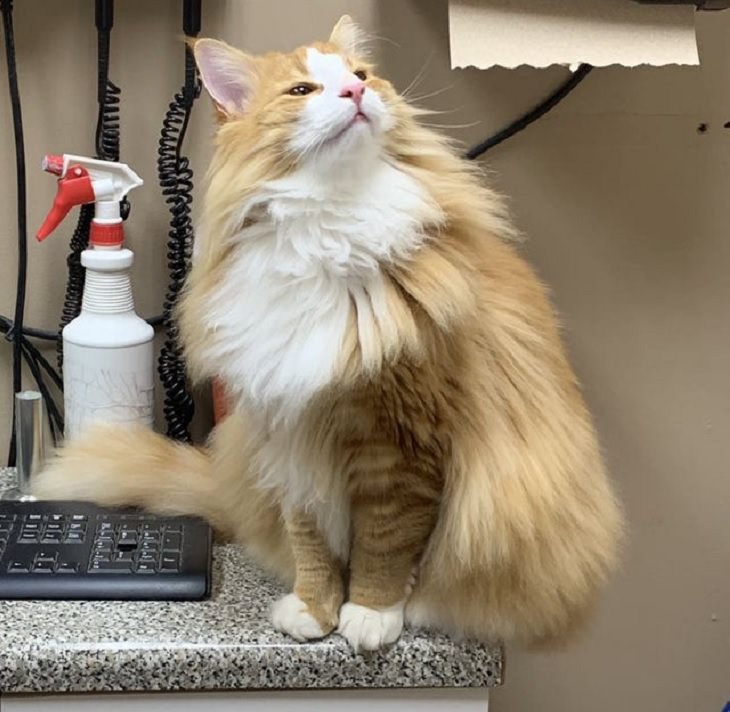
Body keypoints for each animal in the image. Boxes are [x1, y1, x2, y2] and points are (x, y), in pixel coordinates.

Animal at [34, 16, 620, 652]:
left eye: (361, 75)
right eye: (301, 91)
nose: (355, 92)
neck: (328, 229)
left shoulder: (402, 446)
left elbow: (386, 542)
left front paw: (370, 612)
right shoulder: (289, 429)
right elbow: (309, 539)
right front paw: (315, 609)